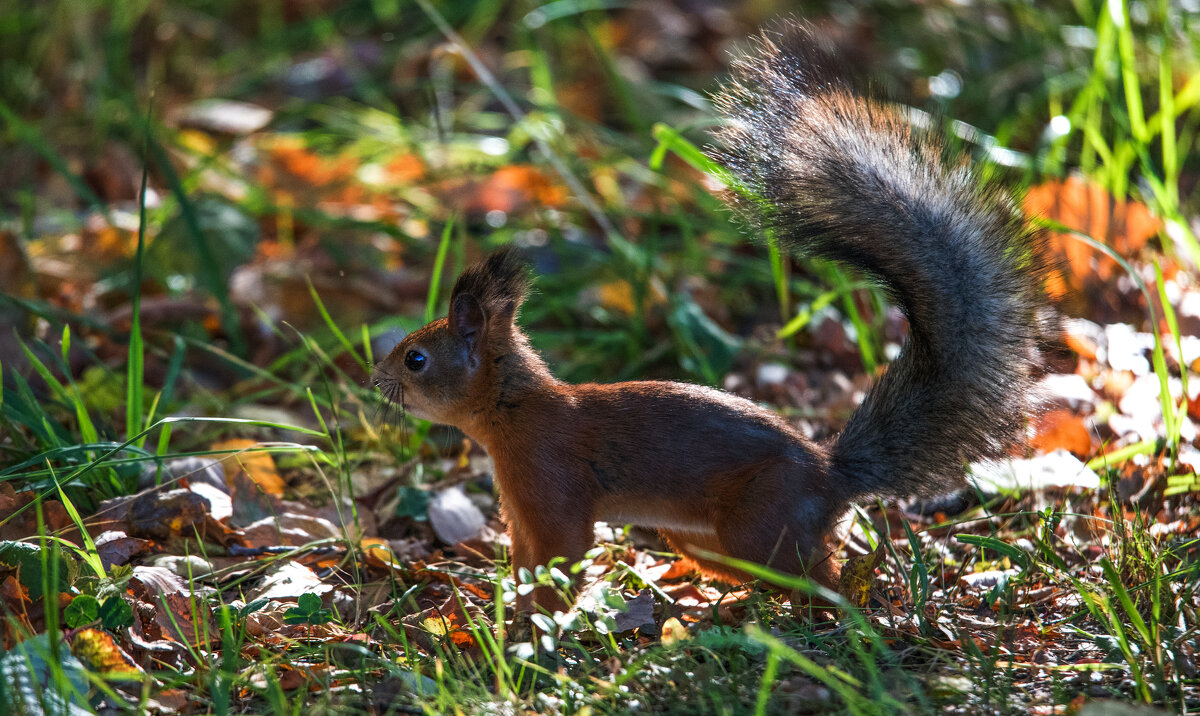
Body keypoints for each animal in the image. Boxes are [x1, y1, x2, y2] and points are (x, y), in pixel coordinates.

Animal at [372, 23, 1051, 614]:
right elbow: (524, 563)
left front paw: (534, 633)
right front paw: (507, 619)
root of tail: (829, 477)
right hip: (707, 540)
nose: (375, 381)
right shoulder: (521, 515)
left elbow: (561, 557)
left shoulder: (552, 486)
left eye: (416, 358)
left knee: (823, 581)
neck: (513, 414)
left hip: (759, 526)